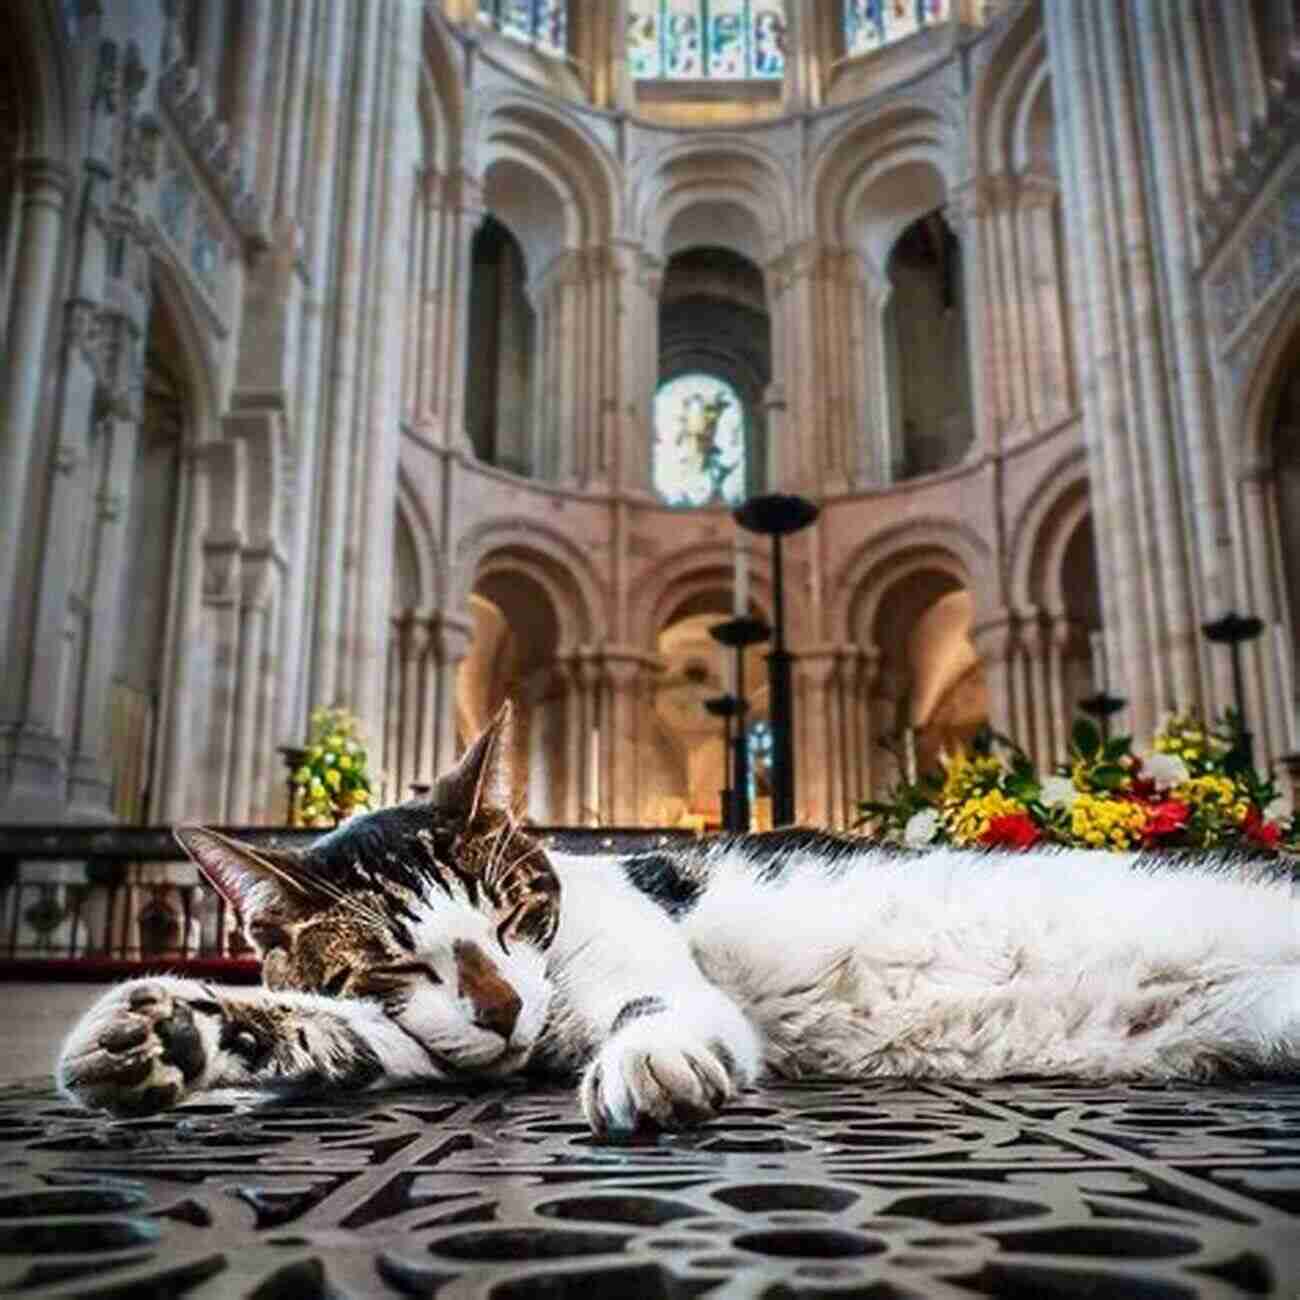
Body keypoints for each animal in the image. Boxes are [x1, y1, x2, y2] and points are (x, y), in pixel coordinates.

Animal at [55, 702, 1294, 1138]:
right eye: (399, 961)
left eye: (511, 914)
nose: (501, 1005)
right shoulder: (422, 1041)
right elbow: (327, 1032)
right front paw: (165, 1031)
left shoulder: (626, 965)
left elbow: (654, 1003)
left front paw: (649, 1057)